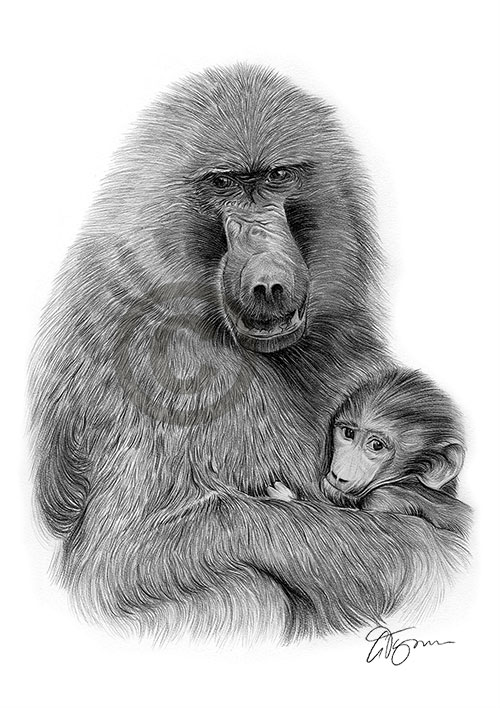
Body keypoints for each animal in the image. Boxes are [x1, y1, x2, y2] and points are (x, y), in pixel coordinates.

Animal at [267, 368, 471, 536]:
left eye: (377, 446)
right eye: (348, 433)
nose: (338, 474)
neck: (407, 481)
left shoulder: (383, 499)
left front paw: (286, 497)